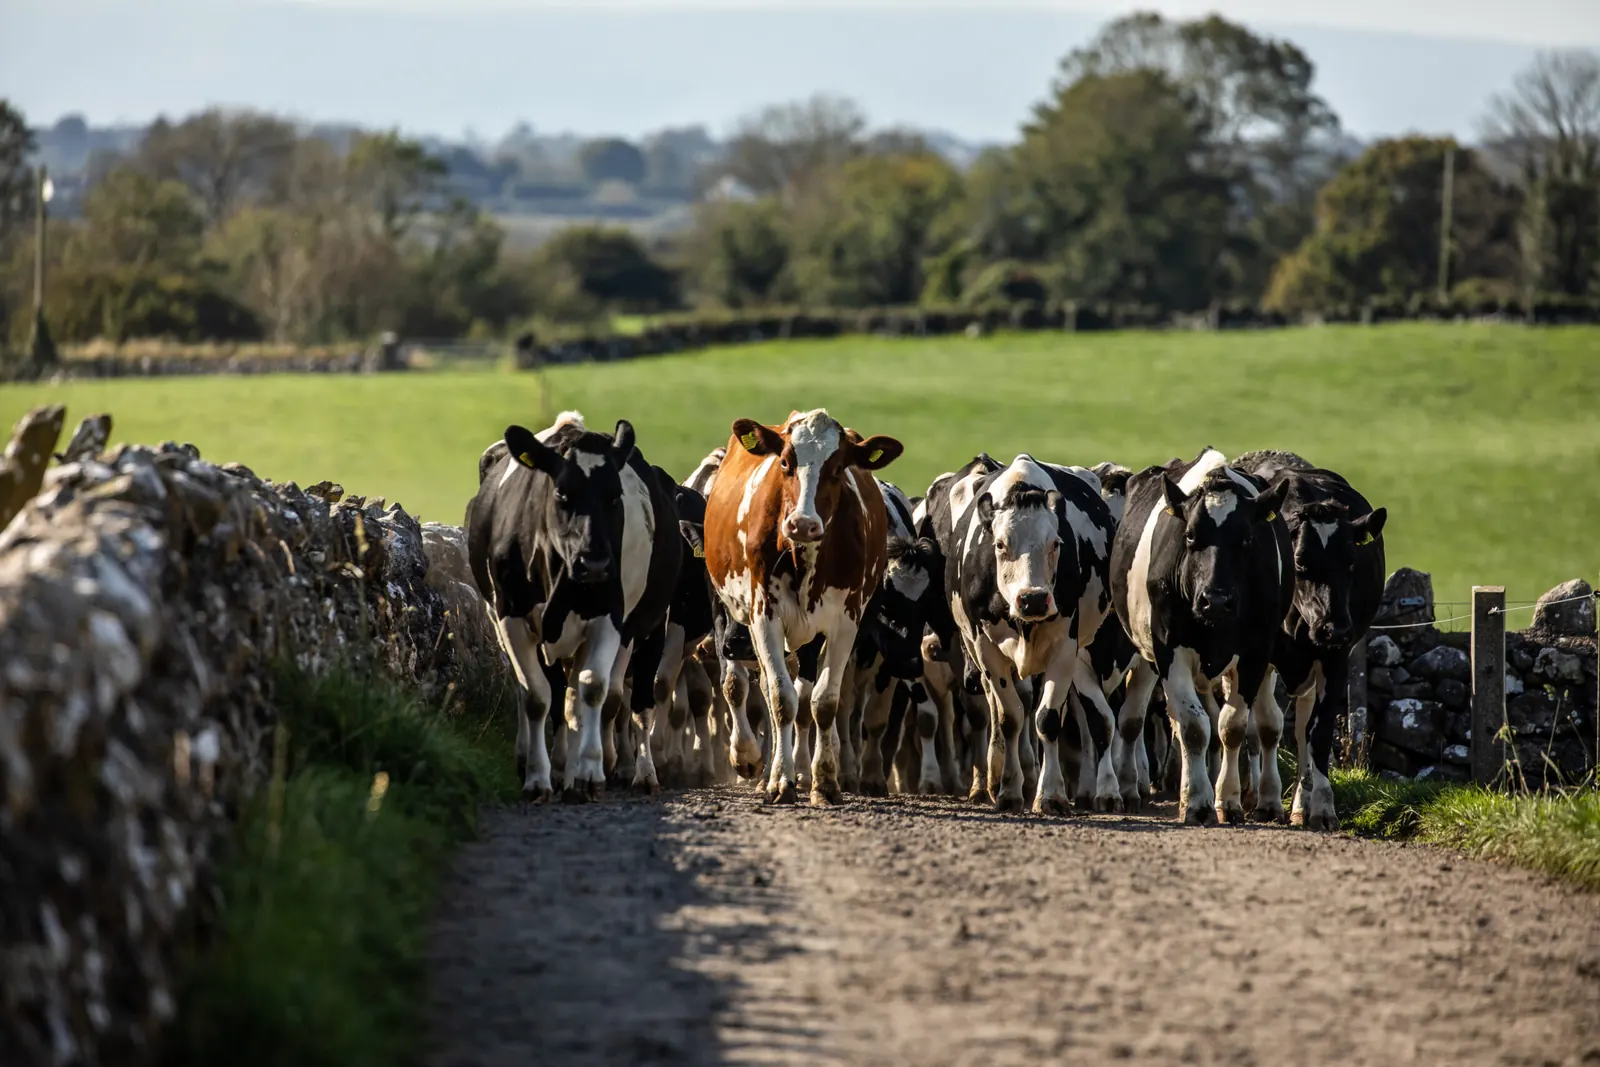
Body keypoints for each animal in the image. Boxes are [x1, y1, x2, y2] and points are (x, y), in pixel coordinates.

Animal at [466, 410, 681, 802]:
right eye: (561, 493)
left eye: (614, 497)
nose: (594, 564)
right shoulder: (511, 617)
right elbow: (536, 696)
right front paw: (538, 777)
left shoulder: (609, 617)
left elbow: (592, 689)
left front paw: (589, 773)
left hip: (650, 624)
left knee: (629, 703)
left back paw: (634, 773)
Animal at [703, 408, 903, 805]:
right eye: (785, 462)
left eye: (838, 468)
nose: (803, 524)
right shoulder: (763, 616)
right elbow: (781, 698)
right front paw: (780, 780)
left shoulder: (845, 621)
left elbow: (823, 702)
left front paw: (823, 780)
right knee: (758, 687)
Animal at [944, 455, 1119, 813]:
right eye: (999, 544)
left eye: (1056, 543)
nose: (1033, 599)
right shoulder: (985, 647)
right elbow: (1010, 717)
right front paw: (1010, 790)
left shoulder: (1065, 646)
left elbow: (1047, 719)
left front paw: (1050, 794)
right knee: (999, 708)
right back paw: (995, 780)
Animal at [1109, 447, 1293, 825]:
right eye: (1190, 536)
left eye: (1247, 538)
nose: (1216, 600)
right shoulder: (1168, 649)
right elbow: (1193, 727)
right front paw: (1197, 801)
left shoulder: (1256, 652)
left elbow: (1232, 727)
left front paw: (1228, 800)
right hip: (1147, 655)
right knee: (1143, 719)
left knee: (1267, 724)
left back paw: (1267, 799)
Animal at [1231, 450, 1386, 829]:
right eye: (1299, 562)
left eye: (1351, 562)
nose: (1336, 628)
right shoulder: (1260, 654)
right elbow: (1267, 726)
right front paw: (1267, 800)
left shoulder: (1335, 658)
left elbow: (1317, 733)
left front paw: (1321, 807)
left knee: (1302, 730)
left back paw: (1300, 803)